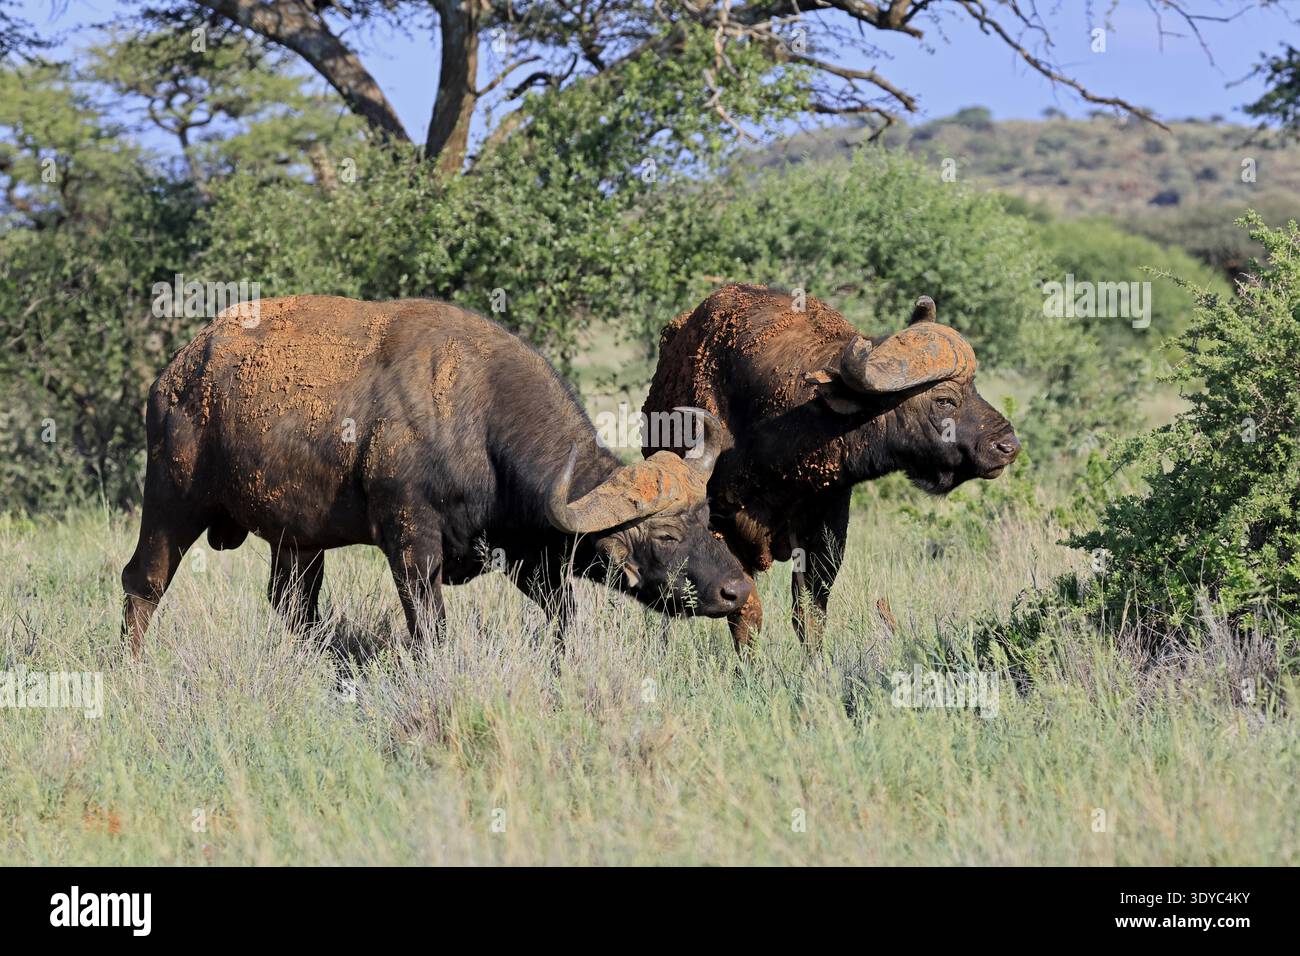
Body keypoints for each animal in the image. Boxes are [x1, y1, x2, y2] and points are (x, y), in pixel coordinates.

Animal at [122, 295, 751, 652]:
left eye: (706, 518)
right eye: (664, 534)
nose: (737, 589)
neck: (480, 422)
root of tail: (177, 374)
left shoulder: (527, 556)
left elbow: (565, 618)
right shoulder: (410, 543)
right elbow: (430, 628)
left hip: (295, 540)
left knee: (294, 606)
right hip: (171, 501)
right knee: (143, 582)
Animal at [642, 284, 1020, 650]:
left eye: (974, 387)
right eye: (944, 399)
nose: (1007, 446)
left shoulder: (827, 525)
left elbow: (809, 613)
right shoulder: (720, 529)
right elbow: (745, 614)